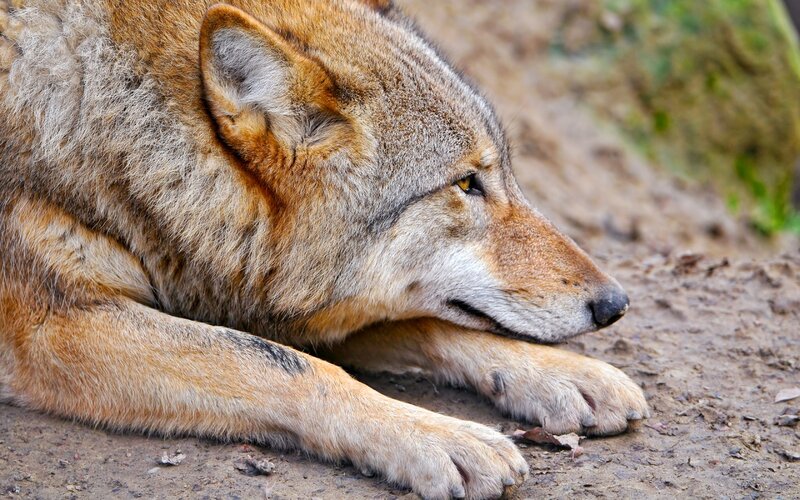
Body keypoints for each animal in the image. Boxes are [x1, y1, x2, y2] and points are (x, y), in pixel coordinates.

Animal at [0, 0, 649, 497]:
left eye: (504, 174)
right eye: (467, 183)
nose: (615, 303)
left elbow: (427, 324)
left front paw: (563, 375)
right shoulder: (58, 327)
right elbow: (283, 364)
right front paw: (441, 437)